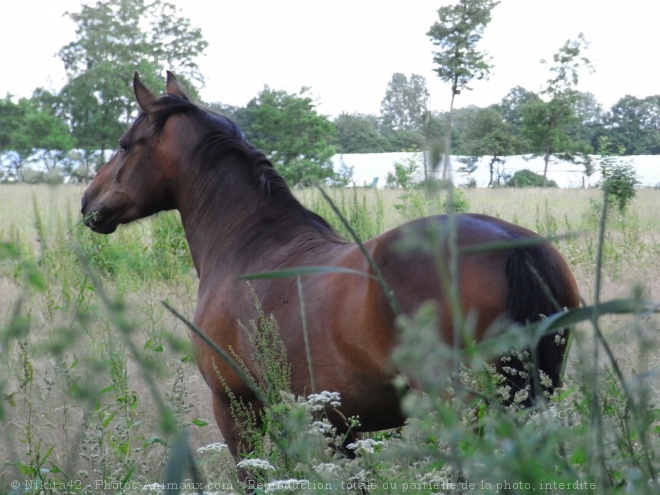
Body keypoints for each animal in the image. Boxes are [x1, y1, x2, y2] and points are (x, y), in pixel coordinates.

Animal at [81, 72, 576, 462]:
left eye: (125, 146)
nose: (89, 202)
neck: (248, 244)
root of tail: (514, 244)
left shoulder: (237, 409)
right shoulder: (337, 422)